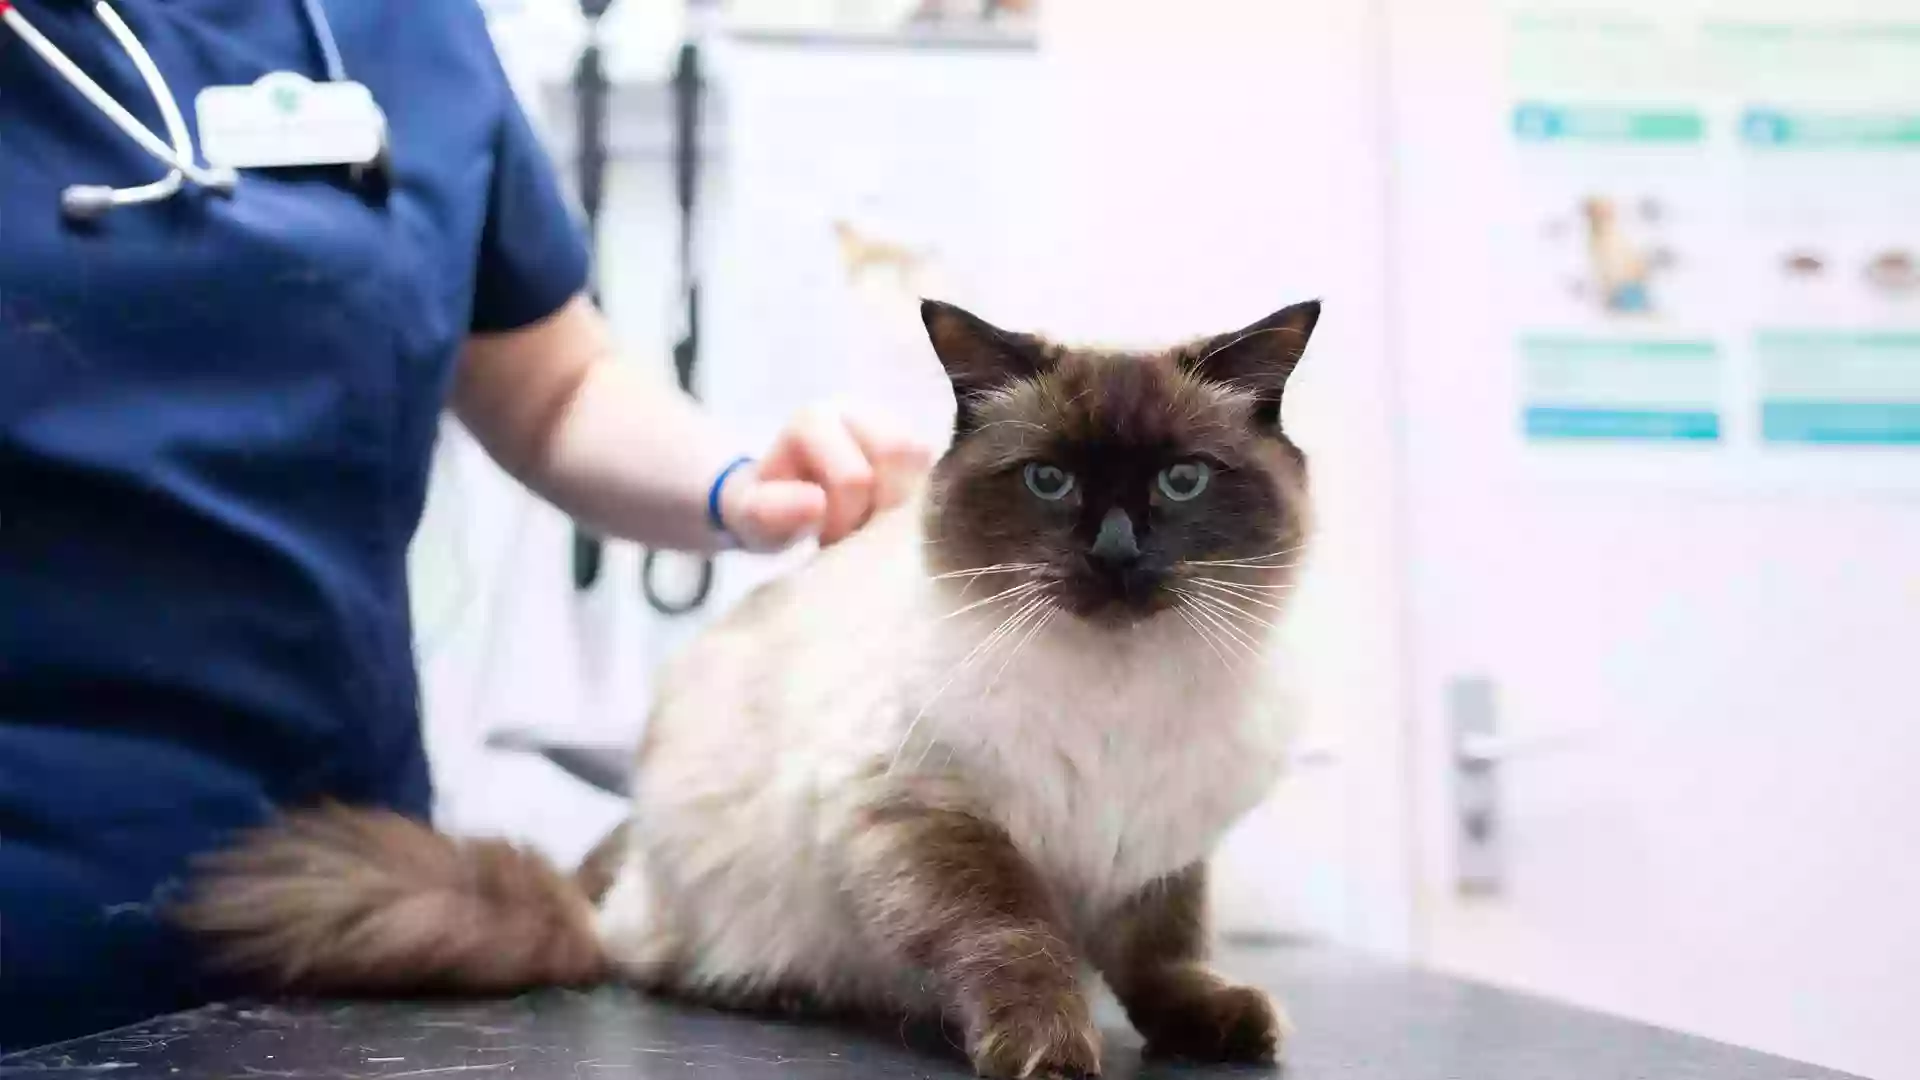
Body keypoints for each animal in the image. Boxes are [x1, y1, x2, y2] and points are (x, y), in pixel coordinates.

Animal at [172, 294, 1320, 1076]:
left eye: (1181, 481)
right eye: (1050, 482)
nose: (1118, 556)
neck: (1123, 697)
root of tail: (613, 899)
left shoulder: (1158, 854)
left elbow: (1164, 957)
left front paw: (1220, 1026)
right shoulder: (927, 819)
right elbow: (1017, 939)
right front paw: (1047, 1047)